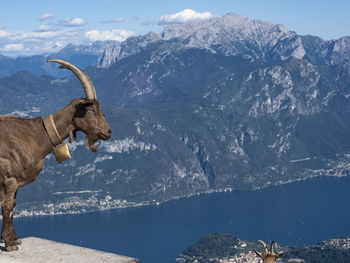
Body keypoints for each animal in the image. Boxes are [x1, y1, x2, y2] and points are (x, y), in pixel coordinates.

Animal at [0, 59, 110, 252]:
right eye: (92, 110)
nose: (108, 131)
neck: (36, 135)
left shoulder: (16, 182)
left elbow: (12, 205)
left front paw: (15, 238)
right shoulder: (9, 178)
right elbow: (7, 207)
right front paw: (9, 244)